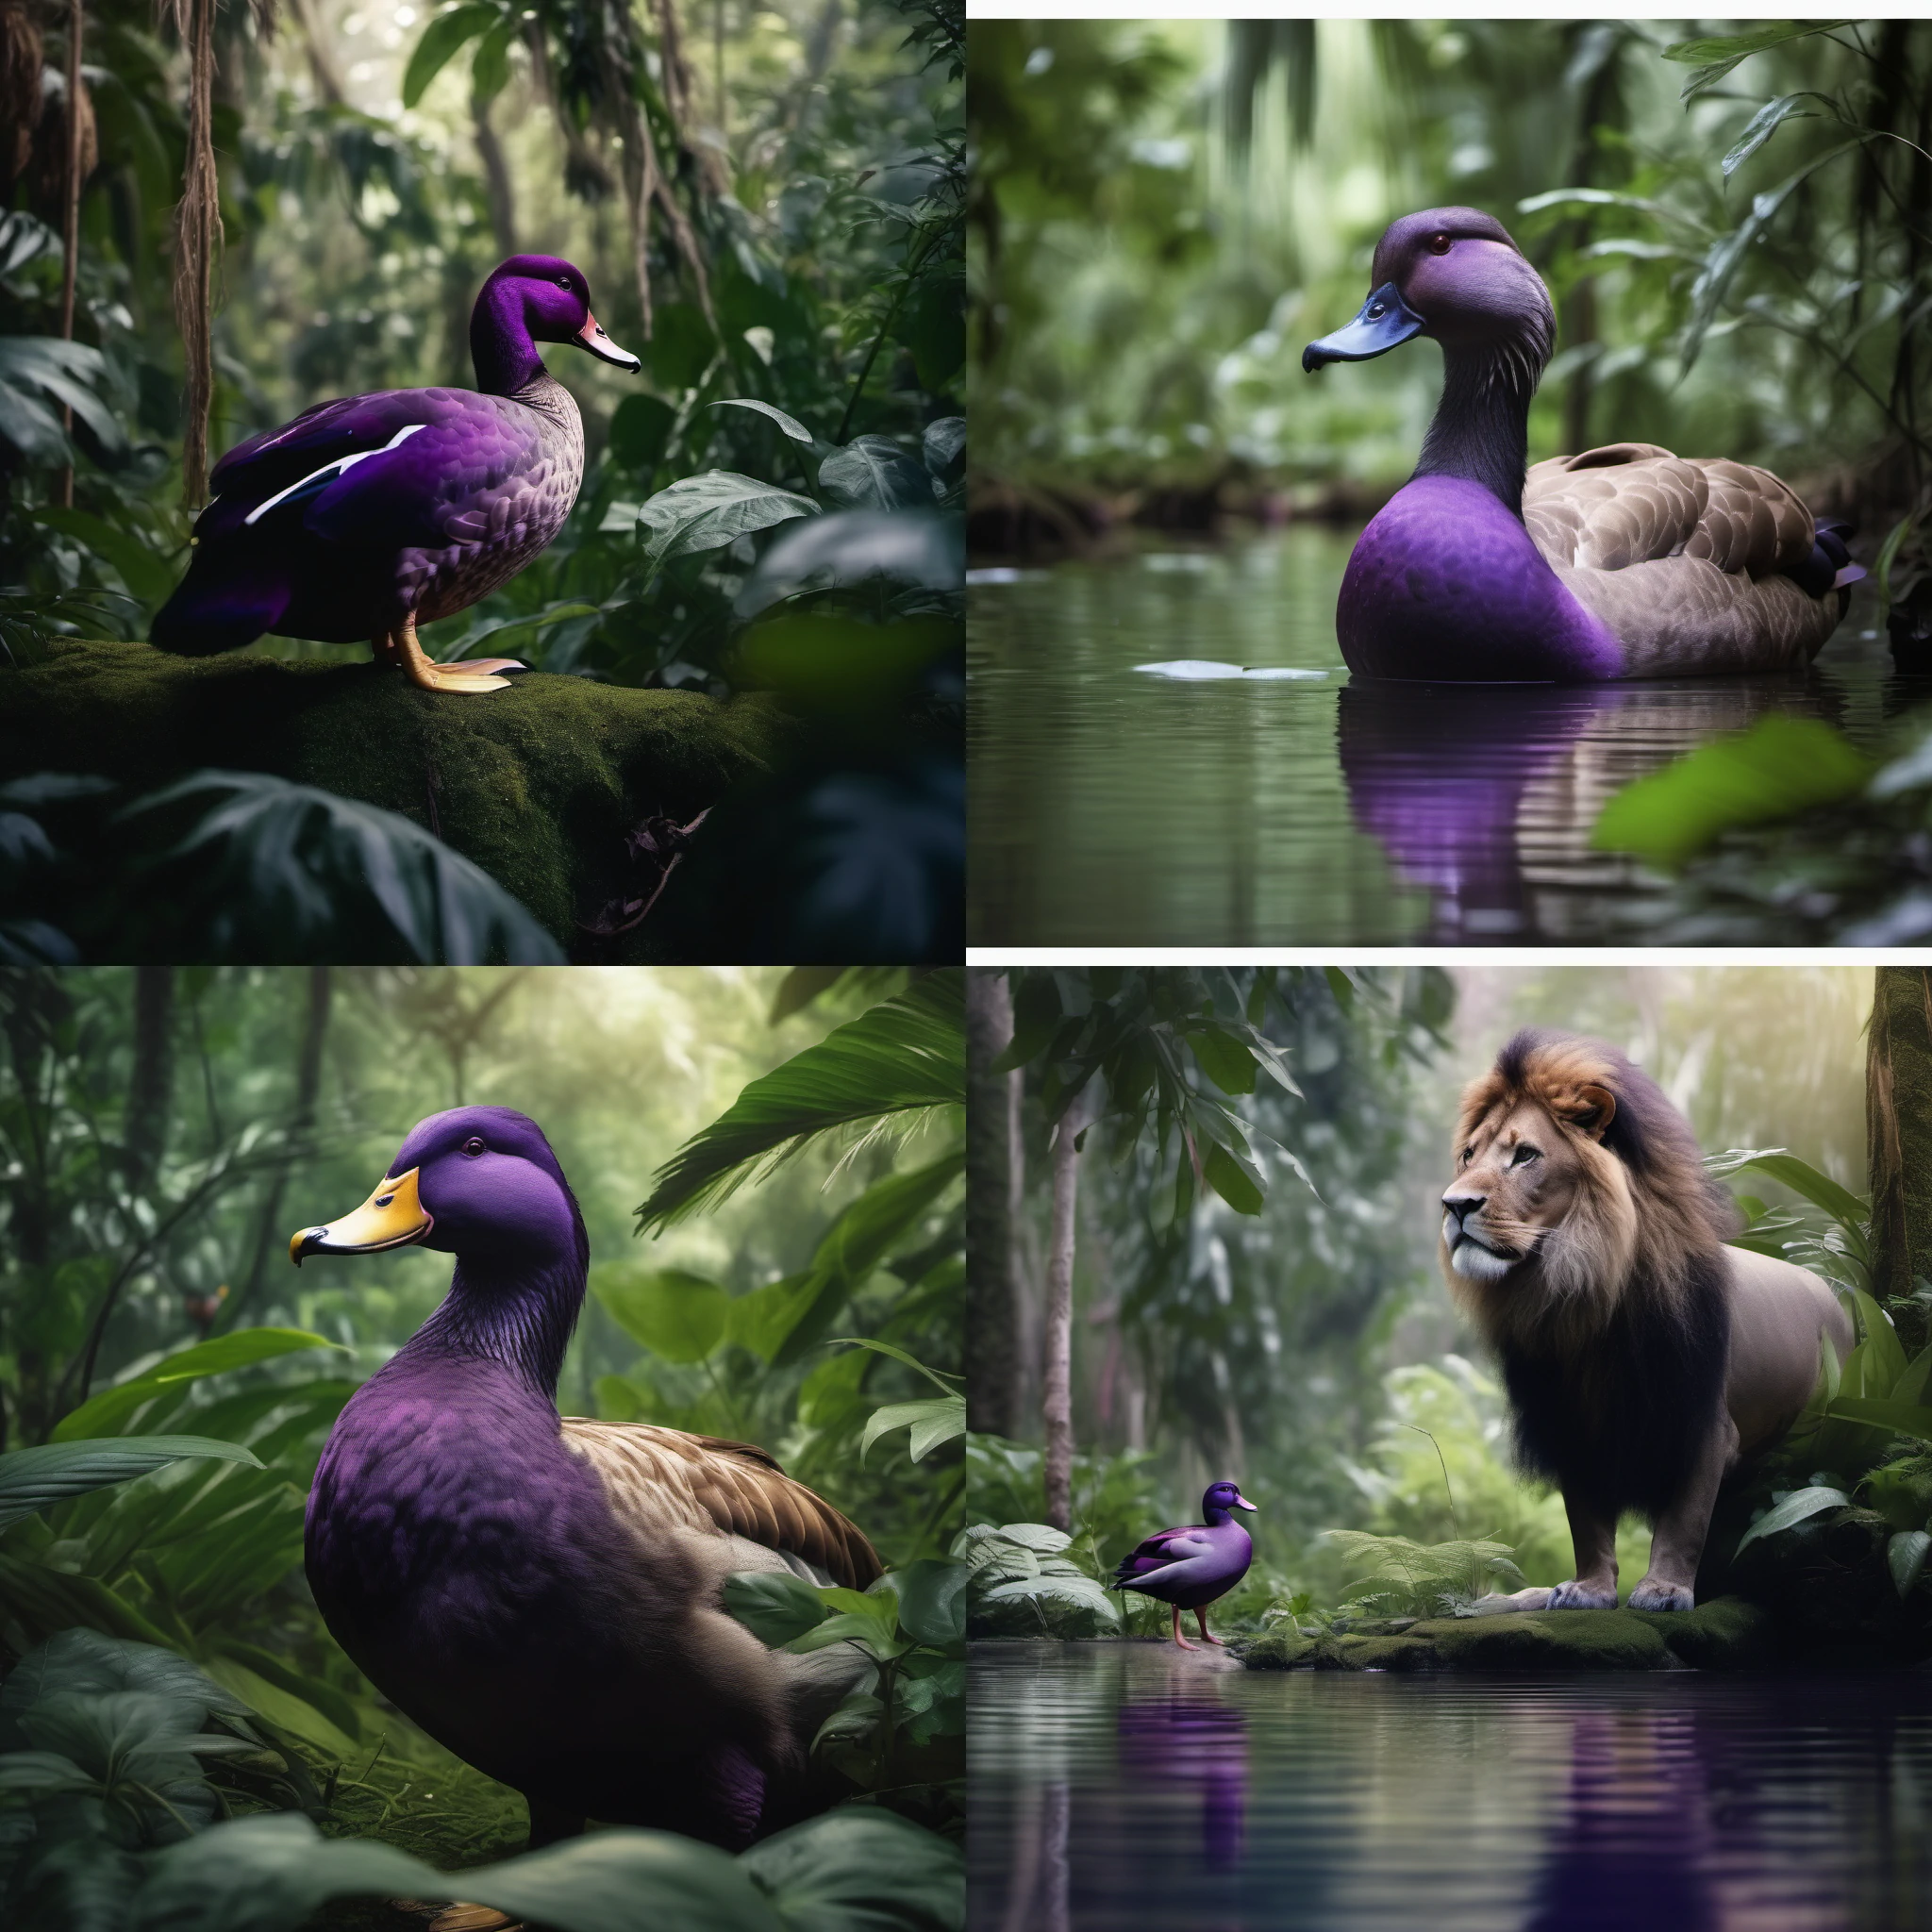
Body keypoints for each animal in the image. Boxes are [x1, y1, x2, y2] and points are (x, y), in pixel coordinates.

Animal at [1439, 1028, 1852, 1613]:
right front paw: (1588, 1589)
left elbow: (1685, 1518)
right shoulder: (1570, 1425)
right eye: (1468, 1155)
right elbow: (1586, 1521)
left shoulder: (1701, 1420)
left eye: (1524, 1156)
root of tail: (1835, 1295)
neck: (1584, 1303)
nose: (1453, 1205)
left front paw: (1663, 1589)